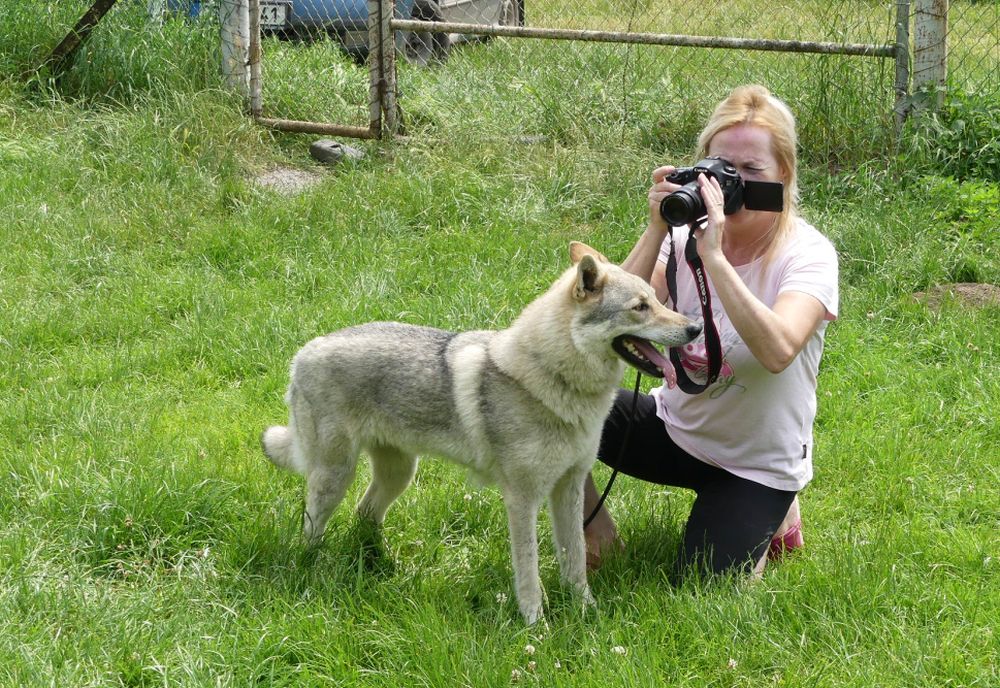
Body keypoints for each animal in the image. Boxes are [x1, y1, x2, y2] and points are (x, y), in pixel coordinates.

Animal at [266, 242, 704, 624]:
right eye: (640, 307)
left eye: (658, 299)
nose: (696, 327)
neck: (552, 378)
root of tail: (303, 352)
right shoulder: (523, 500)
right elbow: (529, 571)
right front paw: (535, 625)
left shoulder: (570, 486)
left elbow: (575, 561)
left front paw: (586, 613)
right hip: (334, 478)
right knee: (312, 530)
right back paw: (315, 567)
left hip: (398, 475)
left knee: (365, 513)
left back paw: (382, 564)